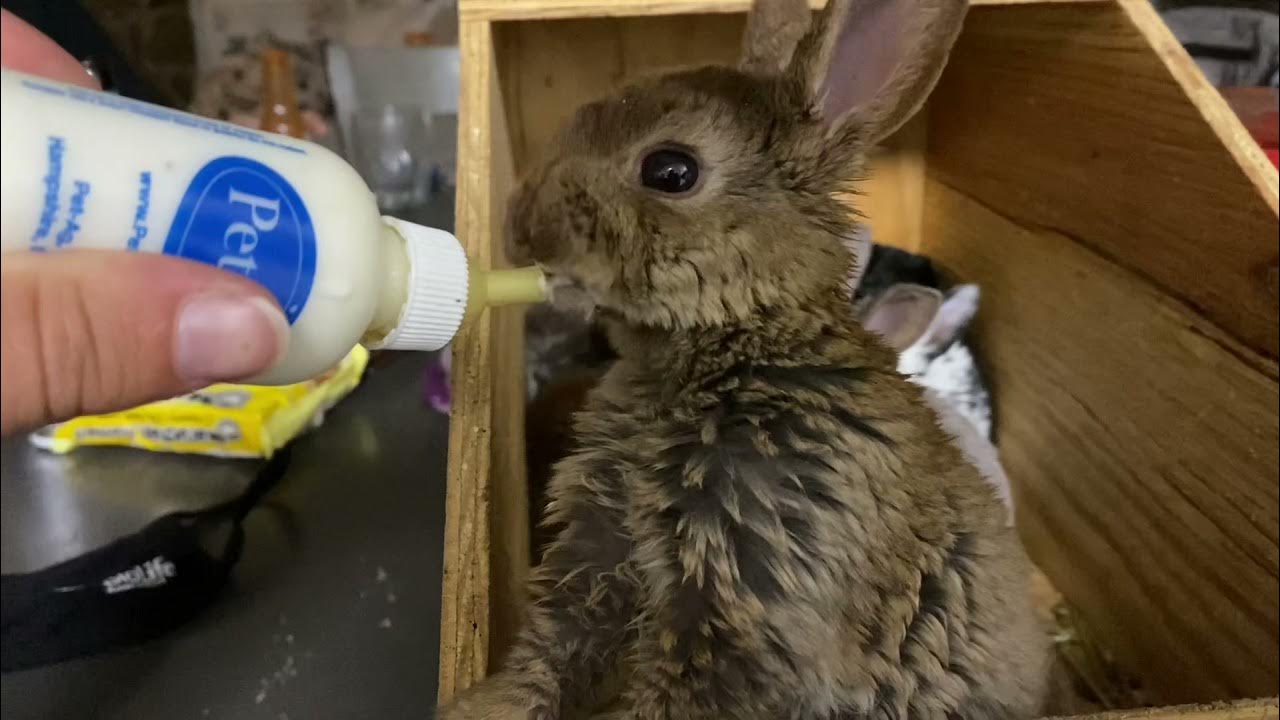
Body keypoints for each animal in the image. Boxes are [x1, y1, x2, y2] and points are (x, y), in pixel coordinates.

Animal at [438, 1, 1049, 718]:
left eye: (671, 171)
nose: (520, 226)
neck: (734, 351)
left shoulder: (745, 612)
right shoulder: (595, 557)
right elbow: (550, 652)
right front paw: (482, 706)